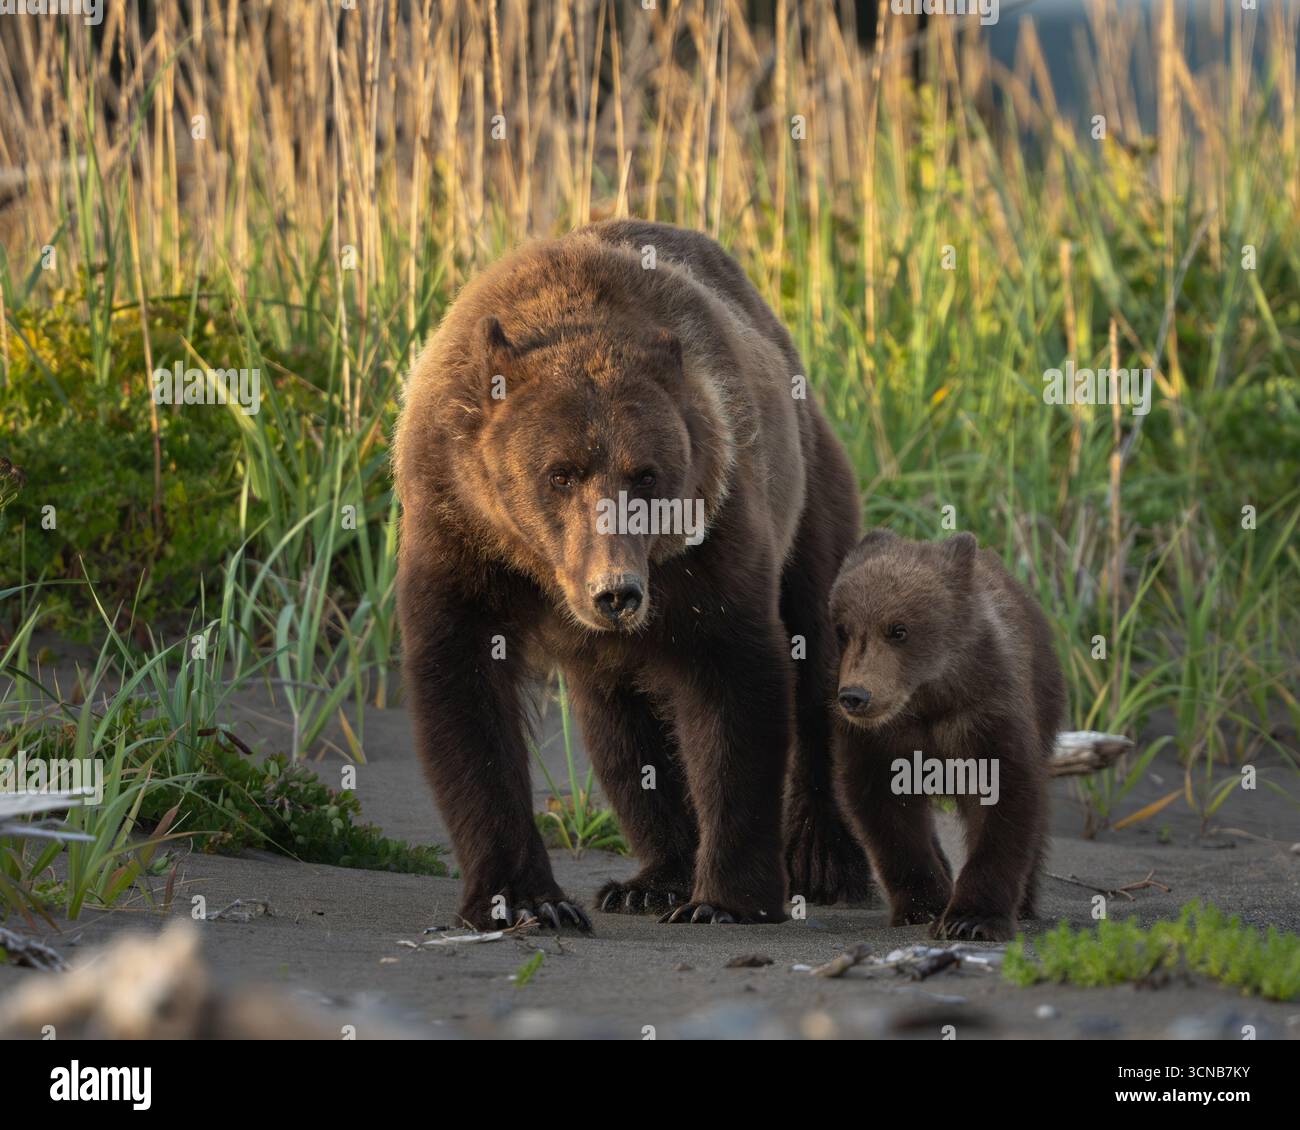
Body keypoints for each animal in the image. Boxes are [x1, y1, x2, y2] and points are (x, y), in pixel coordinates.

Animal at [393, 219, 872, 931]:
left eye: (645, 475)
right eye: (559, 473)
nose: (616, 592)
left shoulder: (710, 532)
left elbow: (735, 682)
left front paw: (724, 899)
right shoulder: (456, 526)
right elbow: (464, 691)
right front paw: (525, 900)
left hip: (812, 491)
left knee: (818, 660)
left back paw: (824, 862)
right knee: (620, 727)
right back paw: (653, 879)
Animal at [828, 529, 1066, 941]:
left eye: (899, 629)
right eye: (843, 630)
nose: (855, 696)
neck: (926, 698)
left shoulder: (983, 714)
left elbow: (1004, 796)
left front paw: (971, 919)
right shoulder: (880, 740)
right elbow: (886, 813)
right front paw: (923, 905)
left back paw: (1024, 903)